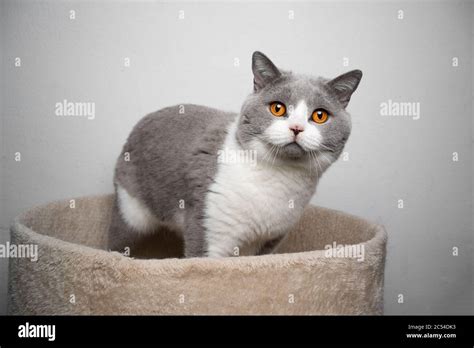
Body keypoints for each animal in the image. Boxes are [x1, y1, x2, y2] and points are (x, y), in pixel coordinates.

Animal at [107, 51, 362, 258]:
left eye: (320, 115)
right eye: (277, 108)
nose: (296, 128)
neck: (278, 179)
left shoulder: (265, 242)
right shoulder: (208, 228)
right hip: (131, 211)